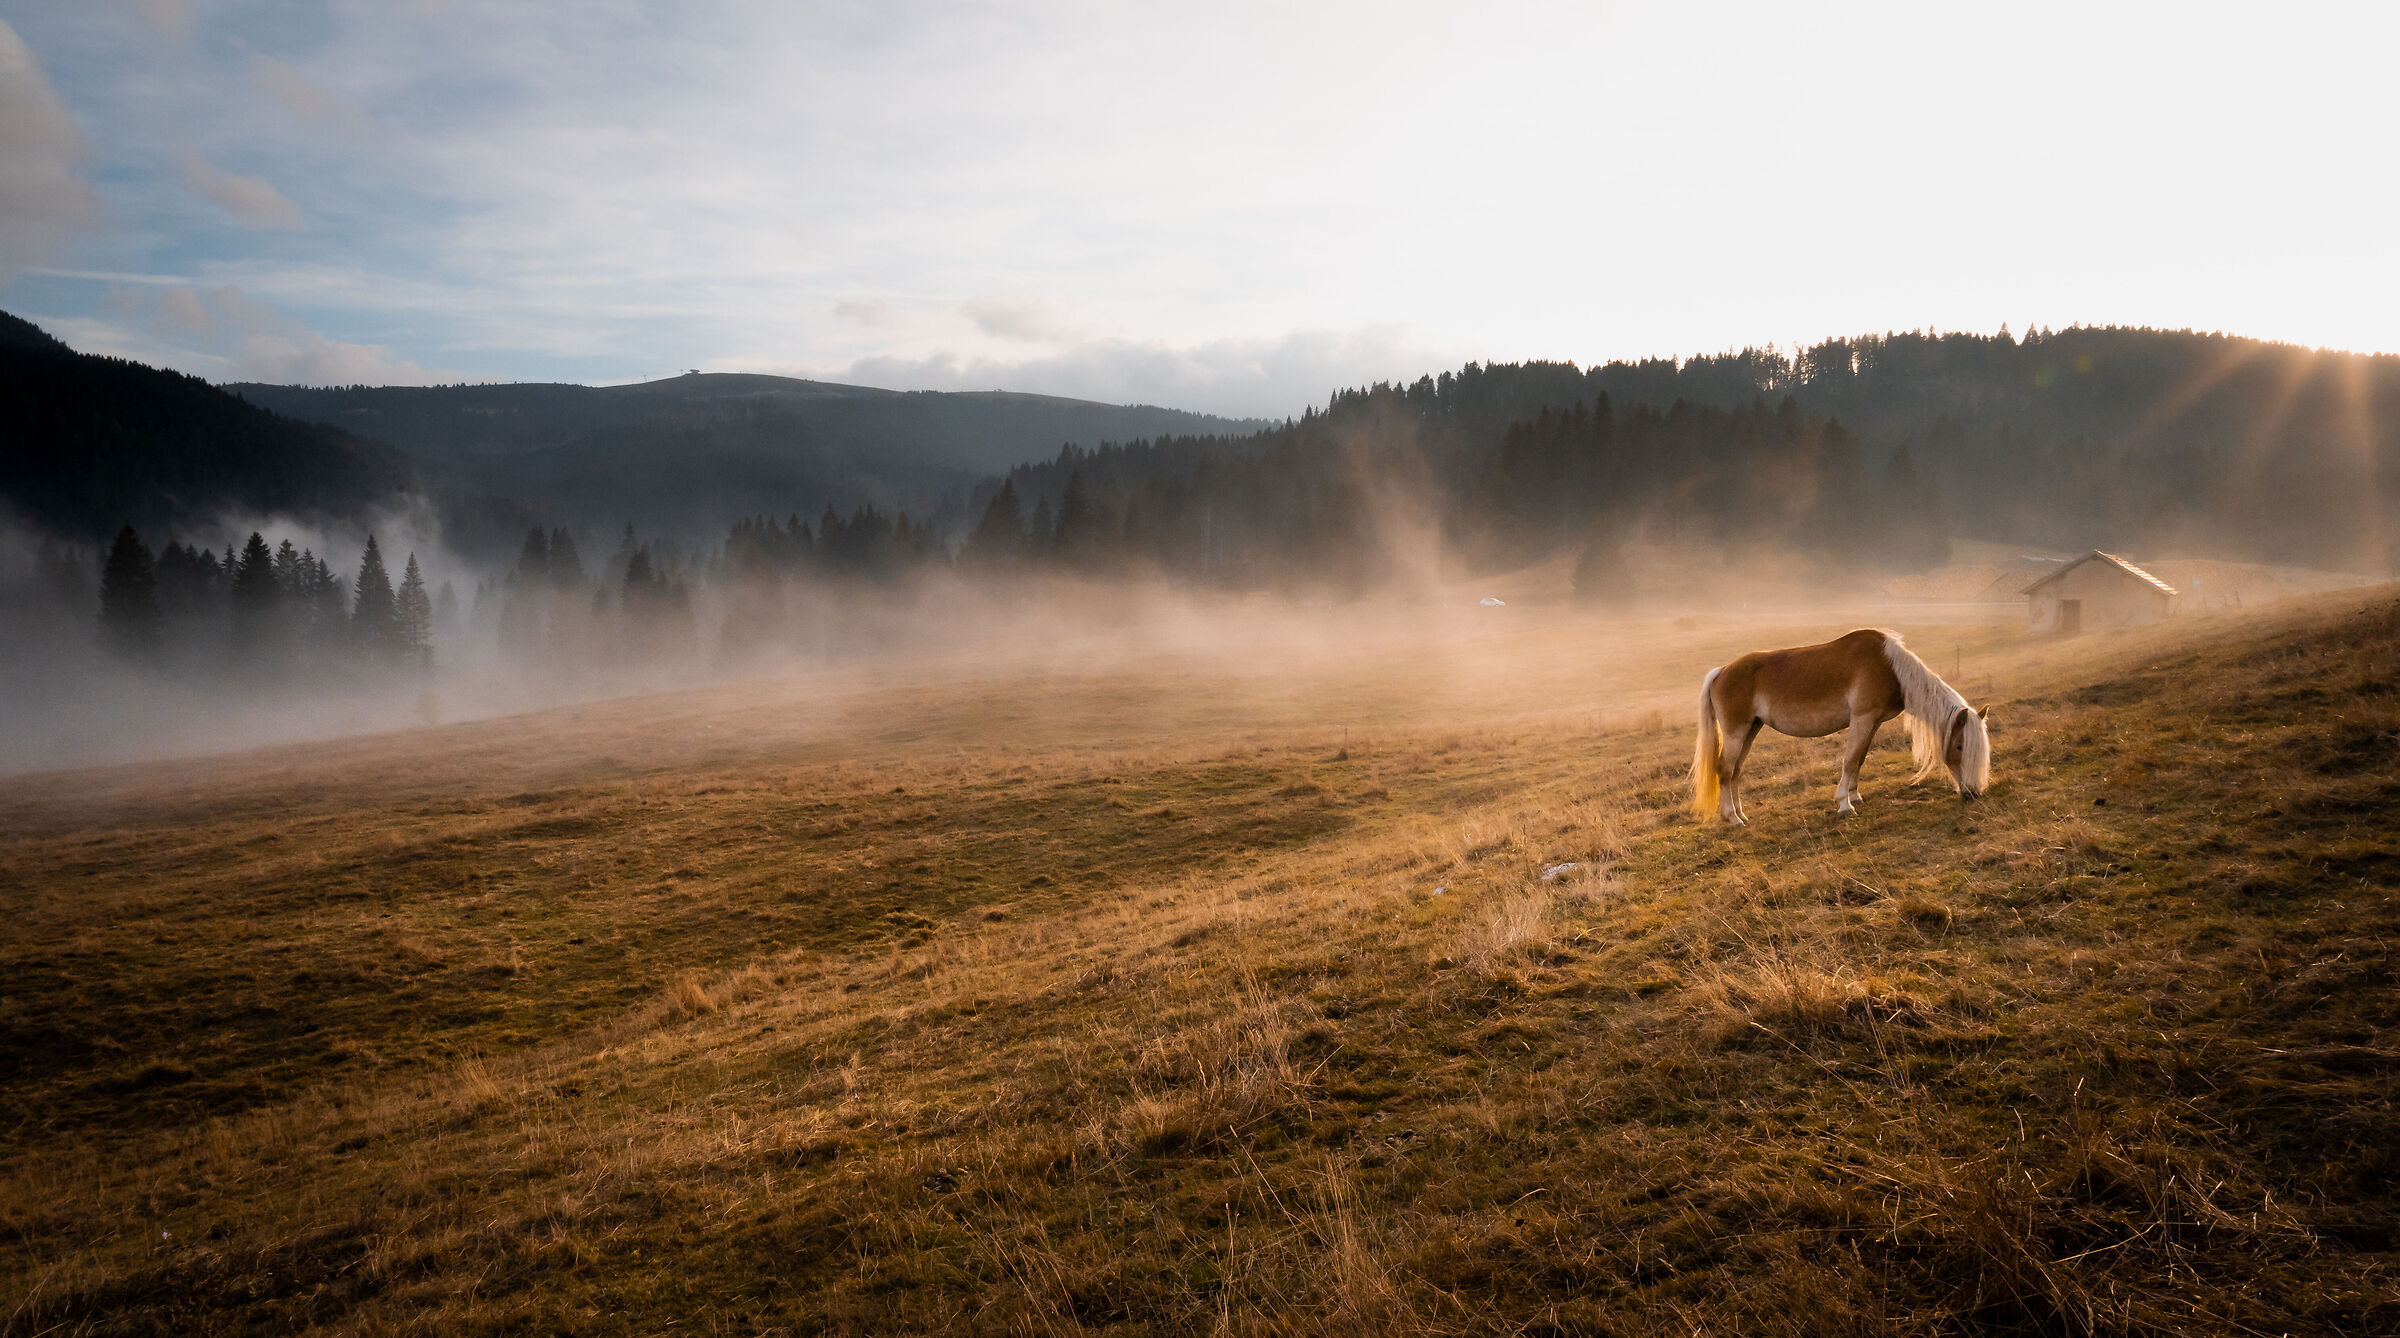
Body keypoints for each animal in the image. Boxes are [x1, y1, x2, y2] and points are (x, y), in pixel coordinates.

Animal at [1692, 628, 1990, 823]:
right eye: (1960, 746)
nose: (1973, 794)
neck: (1890, 667)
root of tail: (1722, 671)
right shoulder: (1861, 719)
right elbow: (1850, 759)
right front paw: (1844, 804)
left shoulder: (1873, 723)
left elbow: (1860, 759)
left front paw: (1855, 796)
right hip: (1736, 732)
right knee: (1725, 769)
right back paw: (1732, 817)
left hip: (1751, 730)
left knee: (1735, 771)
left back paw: (1741, 813)